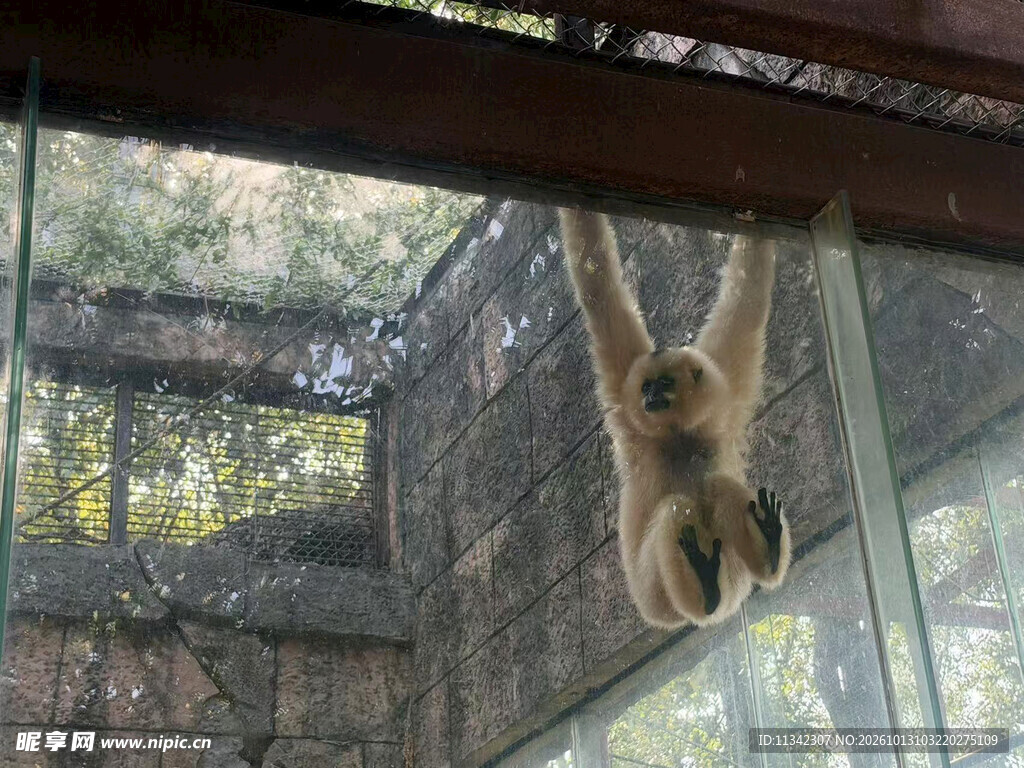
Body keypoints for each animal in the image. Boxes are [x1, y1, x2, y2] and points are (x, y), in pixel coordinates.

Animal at [559, 209, 790, 628]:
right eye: (646, 386)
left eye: (663, 384)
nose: (651, 397)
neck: (679, 435)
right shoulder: (627, 403)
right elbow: (598, 288)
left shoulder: (724, 396)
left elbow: (746, 301)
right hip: (654, 597)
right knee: (675, 509)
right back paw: (705, 584)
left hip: (734, 577)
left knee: (717, 484)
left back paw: (766, 551)